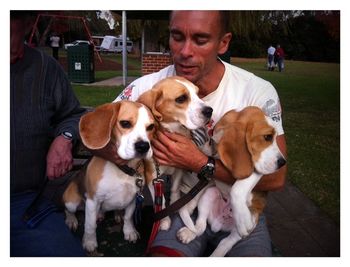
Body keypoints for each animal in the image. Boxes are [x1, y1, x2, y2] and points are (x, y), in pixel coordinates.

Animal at [62, 101, 157, 253]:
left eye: (151, 127)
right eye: (125, 123)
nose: (143, 146)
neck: (124, 170)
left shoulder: (133, 198)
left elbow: (129, 217)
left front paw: (129, 232)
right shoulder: (92, 200)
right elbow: (90, 225)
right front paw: (89, 242)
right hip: (71, 201)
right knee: (68, 210)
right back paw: (72, 220)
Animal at [137, 76, 213, 231]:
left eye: (198, 94)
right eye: (181, 98)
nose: (210, 111)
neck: (175, 131)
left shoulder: (179, 169)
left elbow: (174, 189)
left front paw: (174, 205)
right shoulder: (152, 177)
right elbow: (160, 201)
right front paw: (164, 220)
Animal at [176, 105, 286, 256]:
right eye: (267, 137)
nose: (282, 163)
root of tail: (219, 224)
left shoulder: (256, 168)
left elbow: (238, 187)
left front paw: (242, 217)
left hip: (249, 222)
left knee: (225, 243)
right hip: (209, 195)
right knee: (201, 226)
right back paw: (189, 232)